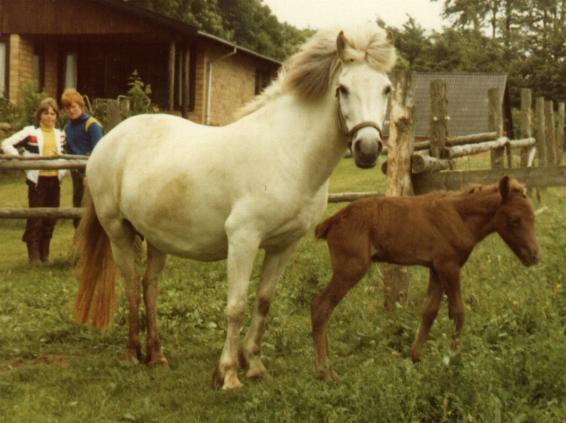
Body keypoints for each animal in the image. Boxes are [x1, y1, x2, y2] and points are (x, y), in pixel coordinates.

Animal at [74, 21, 394, 390]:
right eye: (342, 89)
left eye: (387, 89)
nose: (368, 148)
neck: (287, 152)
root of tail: (111, 138)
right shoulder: (243, 239)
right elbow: (236, 306)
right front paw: (228, 373)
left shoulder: (285, 244)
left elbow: (264, 302)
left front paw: (254, 365)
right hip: (118, 231)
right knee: (129, 284)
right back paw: (131, 354)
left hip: (156, 238)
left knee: (149, 286)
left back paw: (156, 356)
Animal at [312, 176, 544, 380]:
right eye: (515, 220)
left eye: (533, 217)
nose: (534, 256)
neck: (460, 217)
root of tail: (330, 223)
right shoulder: (449, 266)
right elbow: (458, 311)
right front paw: (454, 358)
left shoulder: (435, 268)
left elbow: (429, 311)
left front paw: (417, 358)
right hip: (351, 268)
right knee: (321, 306)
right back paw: (325, 372)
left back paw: (328, 365)